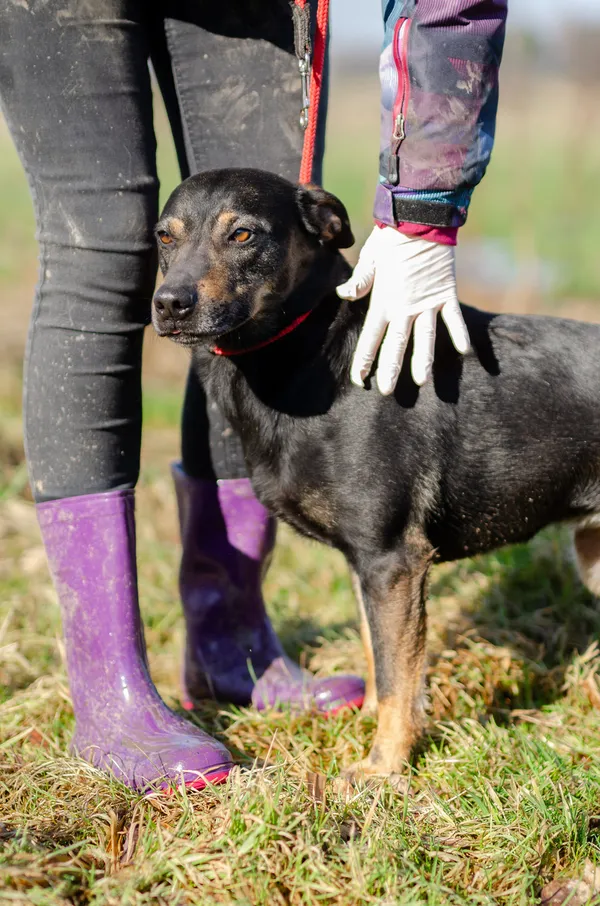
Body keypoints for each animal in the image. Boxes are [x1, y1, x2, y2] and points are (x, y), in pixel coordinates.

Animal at [152, 170, 600, 776]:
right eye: (163, 237)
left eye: (243, 234)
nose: (169, 304)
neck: (315, 355)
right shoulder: (366, 563)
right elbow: (378, 656)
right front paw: (375, 733)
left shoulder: (393, 560)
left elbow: (394, 677)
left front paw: (383, 769)